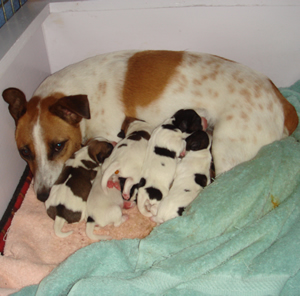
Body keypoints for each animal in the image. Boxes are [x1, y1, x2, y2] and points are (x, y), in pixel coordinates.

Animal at [2, 49, 298, 201]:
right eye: (24, 152)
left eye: (58, 146)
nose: (41, 195)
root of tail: (282, 100)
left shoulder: (110, 134)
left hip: (226, 147)